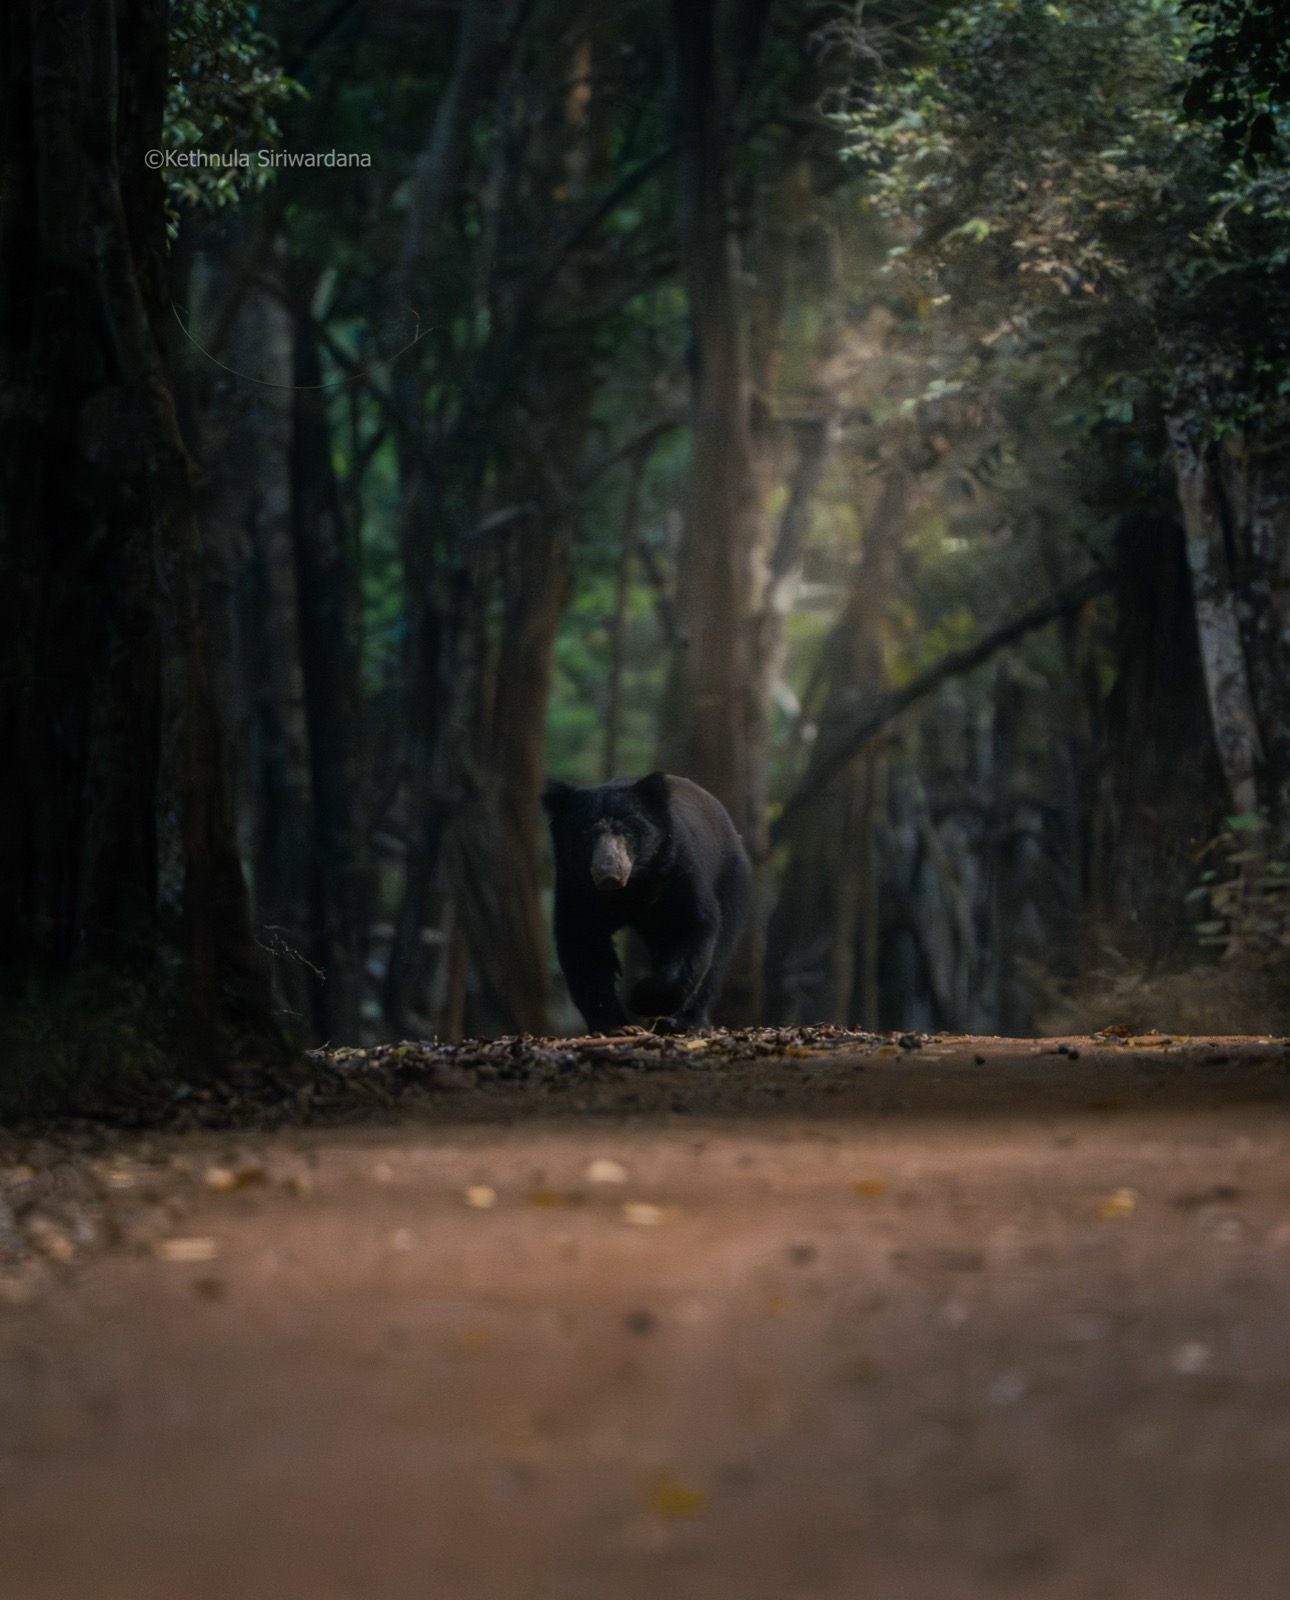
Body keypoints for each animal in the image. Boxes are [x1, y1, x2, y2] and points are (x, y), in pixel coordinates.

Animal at [541, 771, 752, 1033]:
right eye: (586, 833)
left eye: (628, 831)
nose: (609, 873)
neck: (632, 887)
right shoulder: (576, 886)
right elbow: (583, 942)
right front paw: (616, 1026)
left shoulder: (678, 872)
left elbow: (693, 925)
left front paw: (641, 999)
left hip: (730, 877)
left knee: (718, 954)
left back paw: (685, 1021)